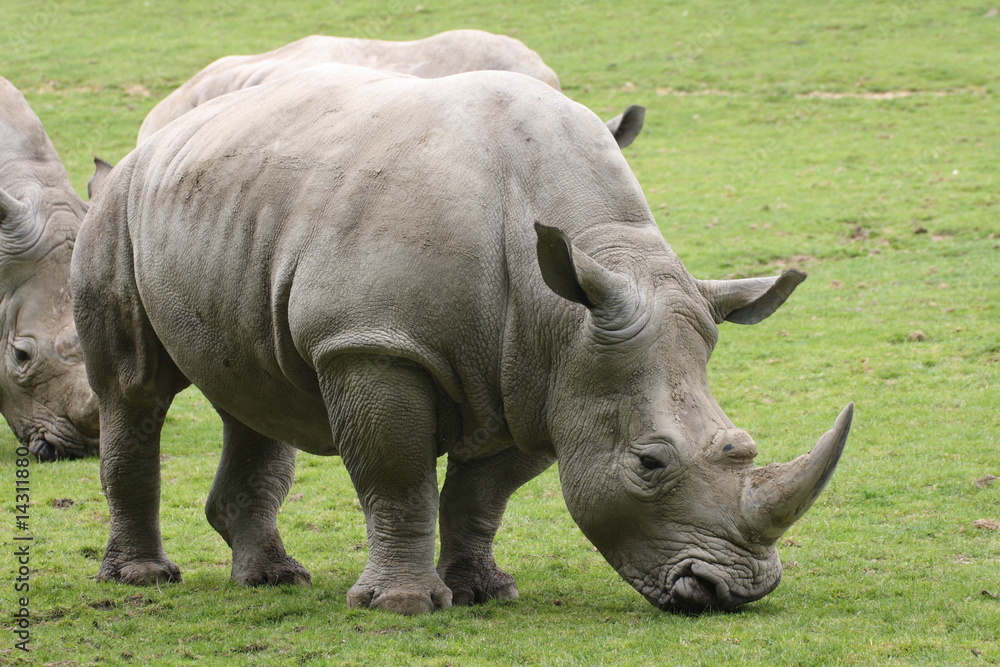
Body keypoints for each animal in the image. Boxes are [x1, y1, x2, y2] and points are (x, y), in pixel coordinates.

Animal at [73, 64, 852, 615]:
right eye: (648, 463)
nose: (735, 591)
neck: (563, 308)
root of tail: (158, 134)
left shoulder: (543, 374)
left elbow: (483, 494)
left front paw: (484, 591)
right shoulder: (373, 343)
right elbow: (398, 478)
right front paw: (402, 605)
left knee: (252, 392)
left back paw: (273, 580)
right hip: (118, 207)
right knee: (135, 390)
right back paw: (146, 578)